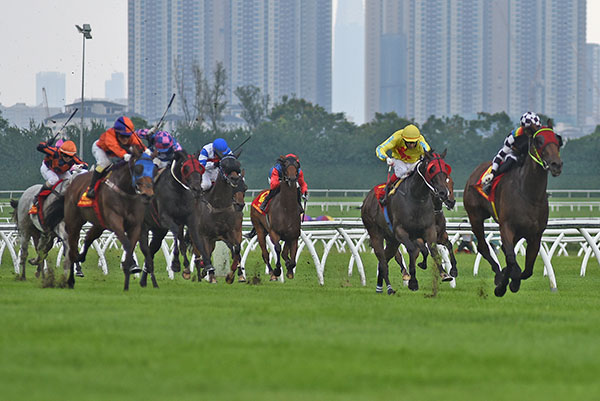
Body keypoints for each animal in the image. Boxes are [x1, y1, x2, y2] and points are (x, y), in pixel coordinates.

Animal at [58, 148, 156, 290]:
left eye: (154, 169)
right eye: (138, 169)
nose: (148, 194)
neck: (126, 191)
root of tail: (73, 183)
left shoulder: (135, 225)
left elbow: (130, 245)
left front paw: (132, 267)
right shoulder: (115, 221)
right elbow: (126, 243)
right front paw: (130, 265)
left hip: (99, 224)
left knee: (88, 237)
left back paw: (80, 257)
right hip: (74, 223)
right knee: (72, 248)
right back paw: (71, 280)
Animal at [138, 151, 204, 288]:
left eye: (200, 167)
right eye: (186, 167)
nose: (197, 189)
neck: (177, 191)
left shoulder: (184, 220)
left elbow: (183, 240)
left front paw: (187, 268)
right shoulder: (165, 218)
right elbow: (175, 233)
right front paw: (176, 264)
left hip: (158, 232)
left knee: (151, 251)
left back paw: (145, 280)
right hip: (143, 228)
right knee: (146, 251)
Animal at [189, 153, 244, 284]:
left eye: (245, 187)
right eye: (224, 165)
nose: (234, 179)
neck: (218, 206)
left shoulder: (233, 232)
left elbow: (237, 249)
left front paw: (231, 276)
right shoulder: (204, 235)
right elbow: (205, 253)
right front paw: (212, 276)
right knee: (198, 253)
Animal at [361, 150, 454, 294]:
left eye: (445, 169)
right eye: (432, 169)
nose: (445, 194)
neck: (416, 198)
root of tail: (367, 199)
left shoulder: (430, 231)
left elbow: (434, 249)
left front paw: (446, 273)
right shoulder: (402, 231)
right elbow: (414, 250)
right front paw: (413, 282)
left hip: (392, 240)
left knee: (386, 259)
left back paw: (379, 287)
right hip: (375, 232)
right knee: (382, 259)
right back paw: (389, 288)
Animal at [463, 124, 563, 297]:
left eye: (557, 140)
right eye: (538, 141)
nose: (556, 164)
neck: (529, 194)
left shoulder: (535, 235)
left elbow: (527, 269)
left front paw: (512, 279)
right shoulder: (507, 227)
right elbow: (510, 258)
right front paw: (503, 285)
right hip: (475, 217)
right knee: (483, 246)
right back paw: (498, 274)